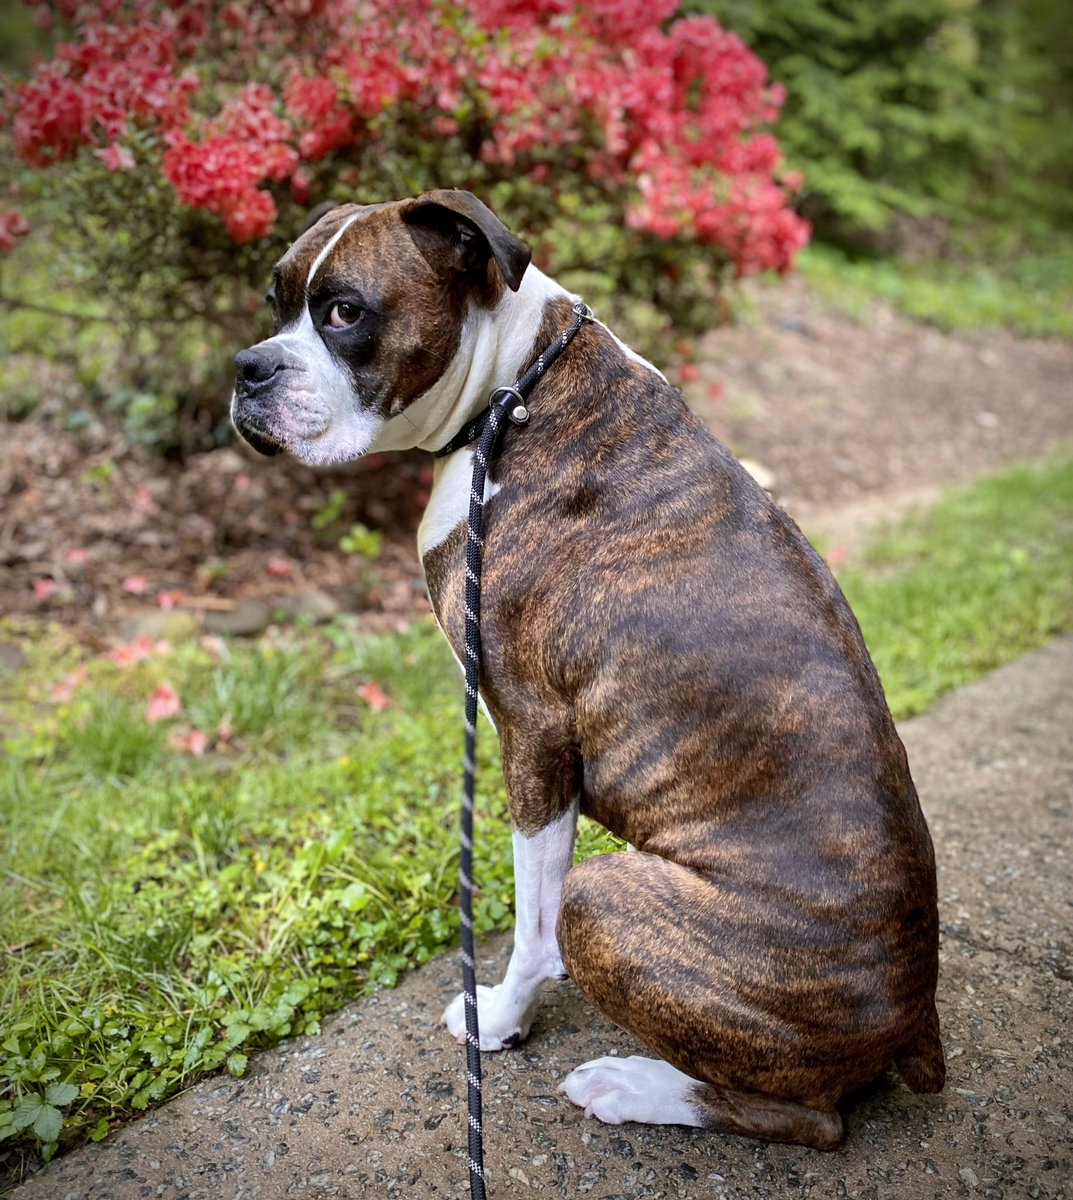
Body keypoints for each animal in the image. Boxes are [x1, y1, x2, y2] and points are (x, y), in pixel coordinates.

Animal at [232, 192, 940, 1147]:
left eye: (344, 312)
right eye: (276, 303)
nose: (248, 368)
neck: (514, 391)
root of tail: (913, 1017)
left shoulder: (532, 735)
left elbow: (531, 923)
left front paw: (499, 1018)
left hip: (604, 901)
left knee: (807, 1120)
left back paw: (635, 1085)